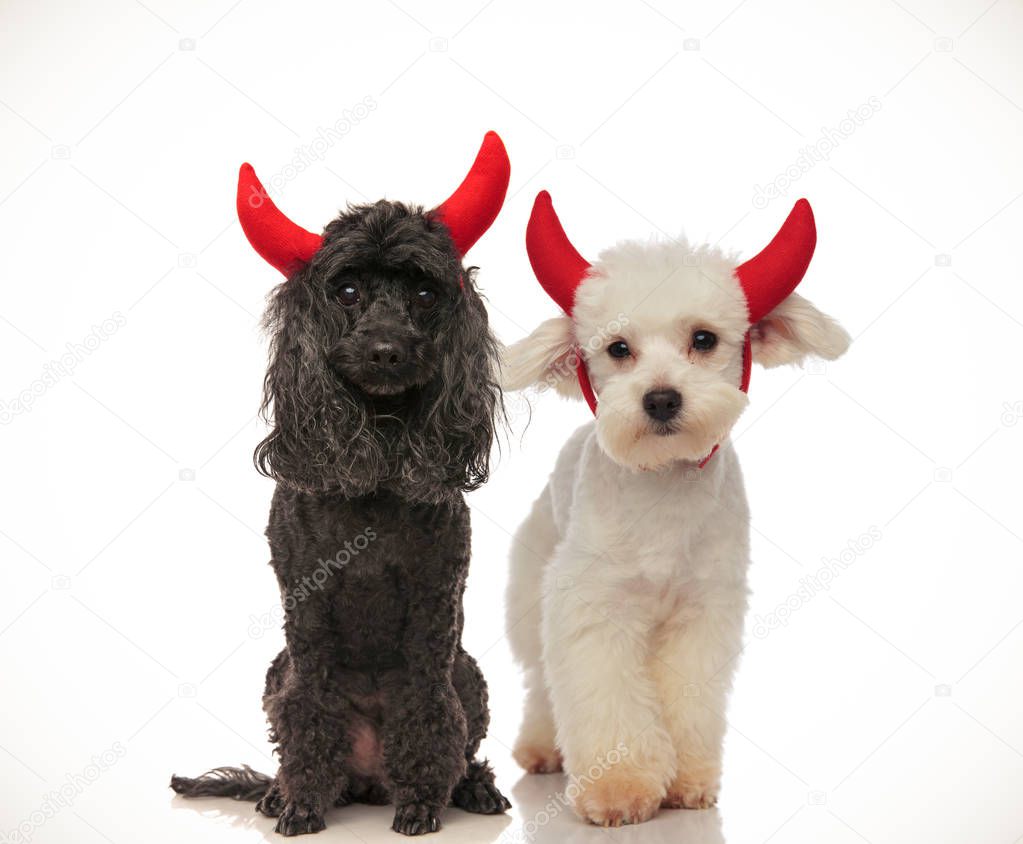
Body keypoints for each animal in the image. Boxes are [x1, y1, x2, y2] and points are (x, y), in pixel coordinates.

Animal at [173, 135, 519, 834]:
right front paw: (302, 801)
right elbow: (310, 710)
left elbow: (427, 708)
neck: (378, 466)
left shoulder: (435, 610)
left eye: (424, 293)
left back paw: (472, 789)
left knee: (463, 741)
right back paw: (280, 791)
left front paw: (422, 802)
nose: (386, 350)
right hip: (276, 671)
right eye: (349, 290)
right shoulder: (304, 614)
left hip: (468, 673)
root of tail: (367, 780)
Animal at [501, 189, 847, 822]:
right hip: (533, 593)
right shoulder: (593, 609)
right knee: (541, 679)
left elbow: (687, 700)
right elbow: (602, 695)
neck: (662, 487)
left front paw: (685, 781)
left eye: (703, 339)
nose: (661, 398)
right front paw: (619, 787)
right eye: (618, 349)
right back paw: (543, 748)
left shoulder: (702, 614)